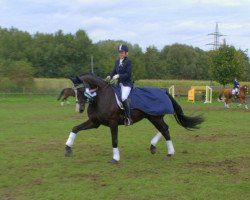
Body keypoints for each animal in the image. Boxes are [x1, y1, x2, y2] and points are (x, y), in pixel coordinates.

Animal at [65, 74, 205, 163]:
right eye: (74, 91)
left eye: (82, 90)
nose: (79, 109)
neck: (100, 97)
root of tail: (163, 92)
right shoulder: (95, 122)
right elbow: (75, 128)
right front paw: (68, 148)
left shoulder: (112, 122)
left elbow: (114, 140)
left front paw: (115, 158)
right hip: (153, 117)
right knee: (164, 128)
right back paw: (153, 146)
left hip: (155, 117)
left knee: (165, 129)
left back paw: (169, 152)